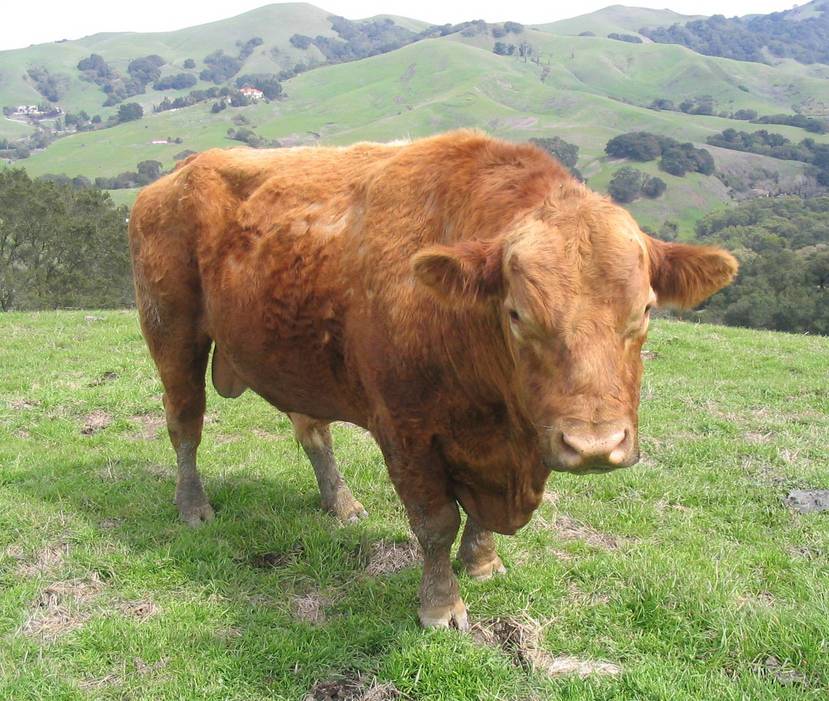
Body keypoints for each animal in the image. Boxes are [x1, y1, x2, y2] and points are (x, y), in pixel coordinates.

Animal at [128, 130, 737, 629]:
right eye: (517, 313)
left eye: (646, 309)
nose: (593, 445)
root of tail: (179, 173)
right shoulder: (405, 431)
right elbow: (436, 522)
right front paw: (441, 606)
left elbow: (480, 521)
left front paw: (484, 562)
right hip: (172, 335)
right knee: (184, 424)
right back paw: (193, 506)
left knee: (312, 432)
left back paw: (341, 503)